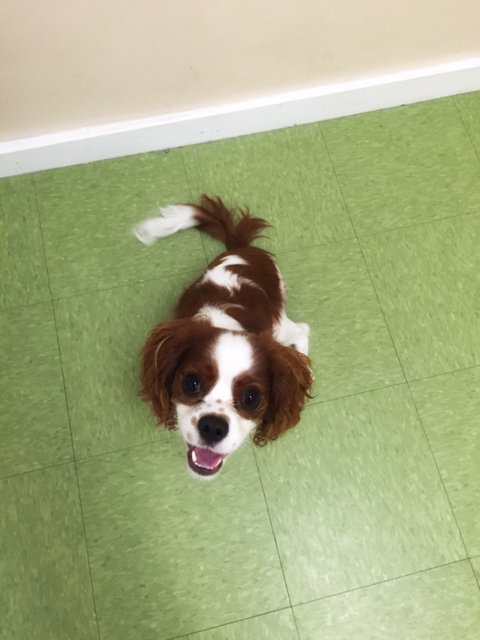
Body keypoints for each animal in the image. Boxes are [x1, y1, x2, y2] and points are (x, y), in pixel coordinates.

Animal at [135, 198, 314, 478]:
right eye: (191, 383)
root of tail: (243, 248)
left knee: (302, 331)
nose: (213, 427)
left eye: (251, 398)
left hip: (279, 324)